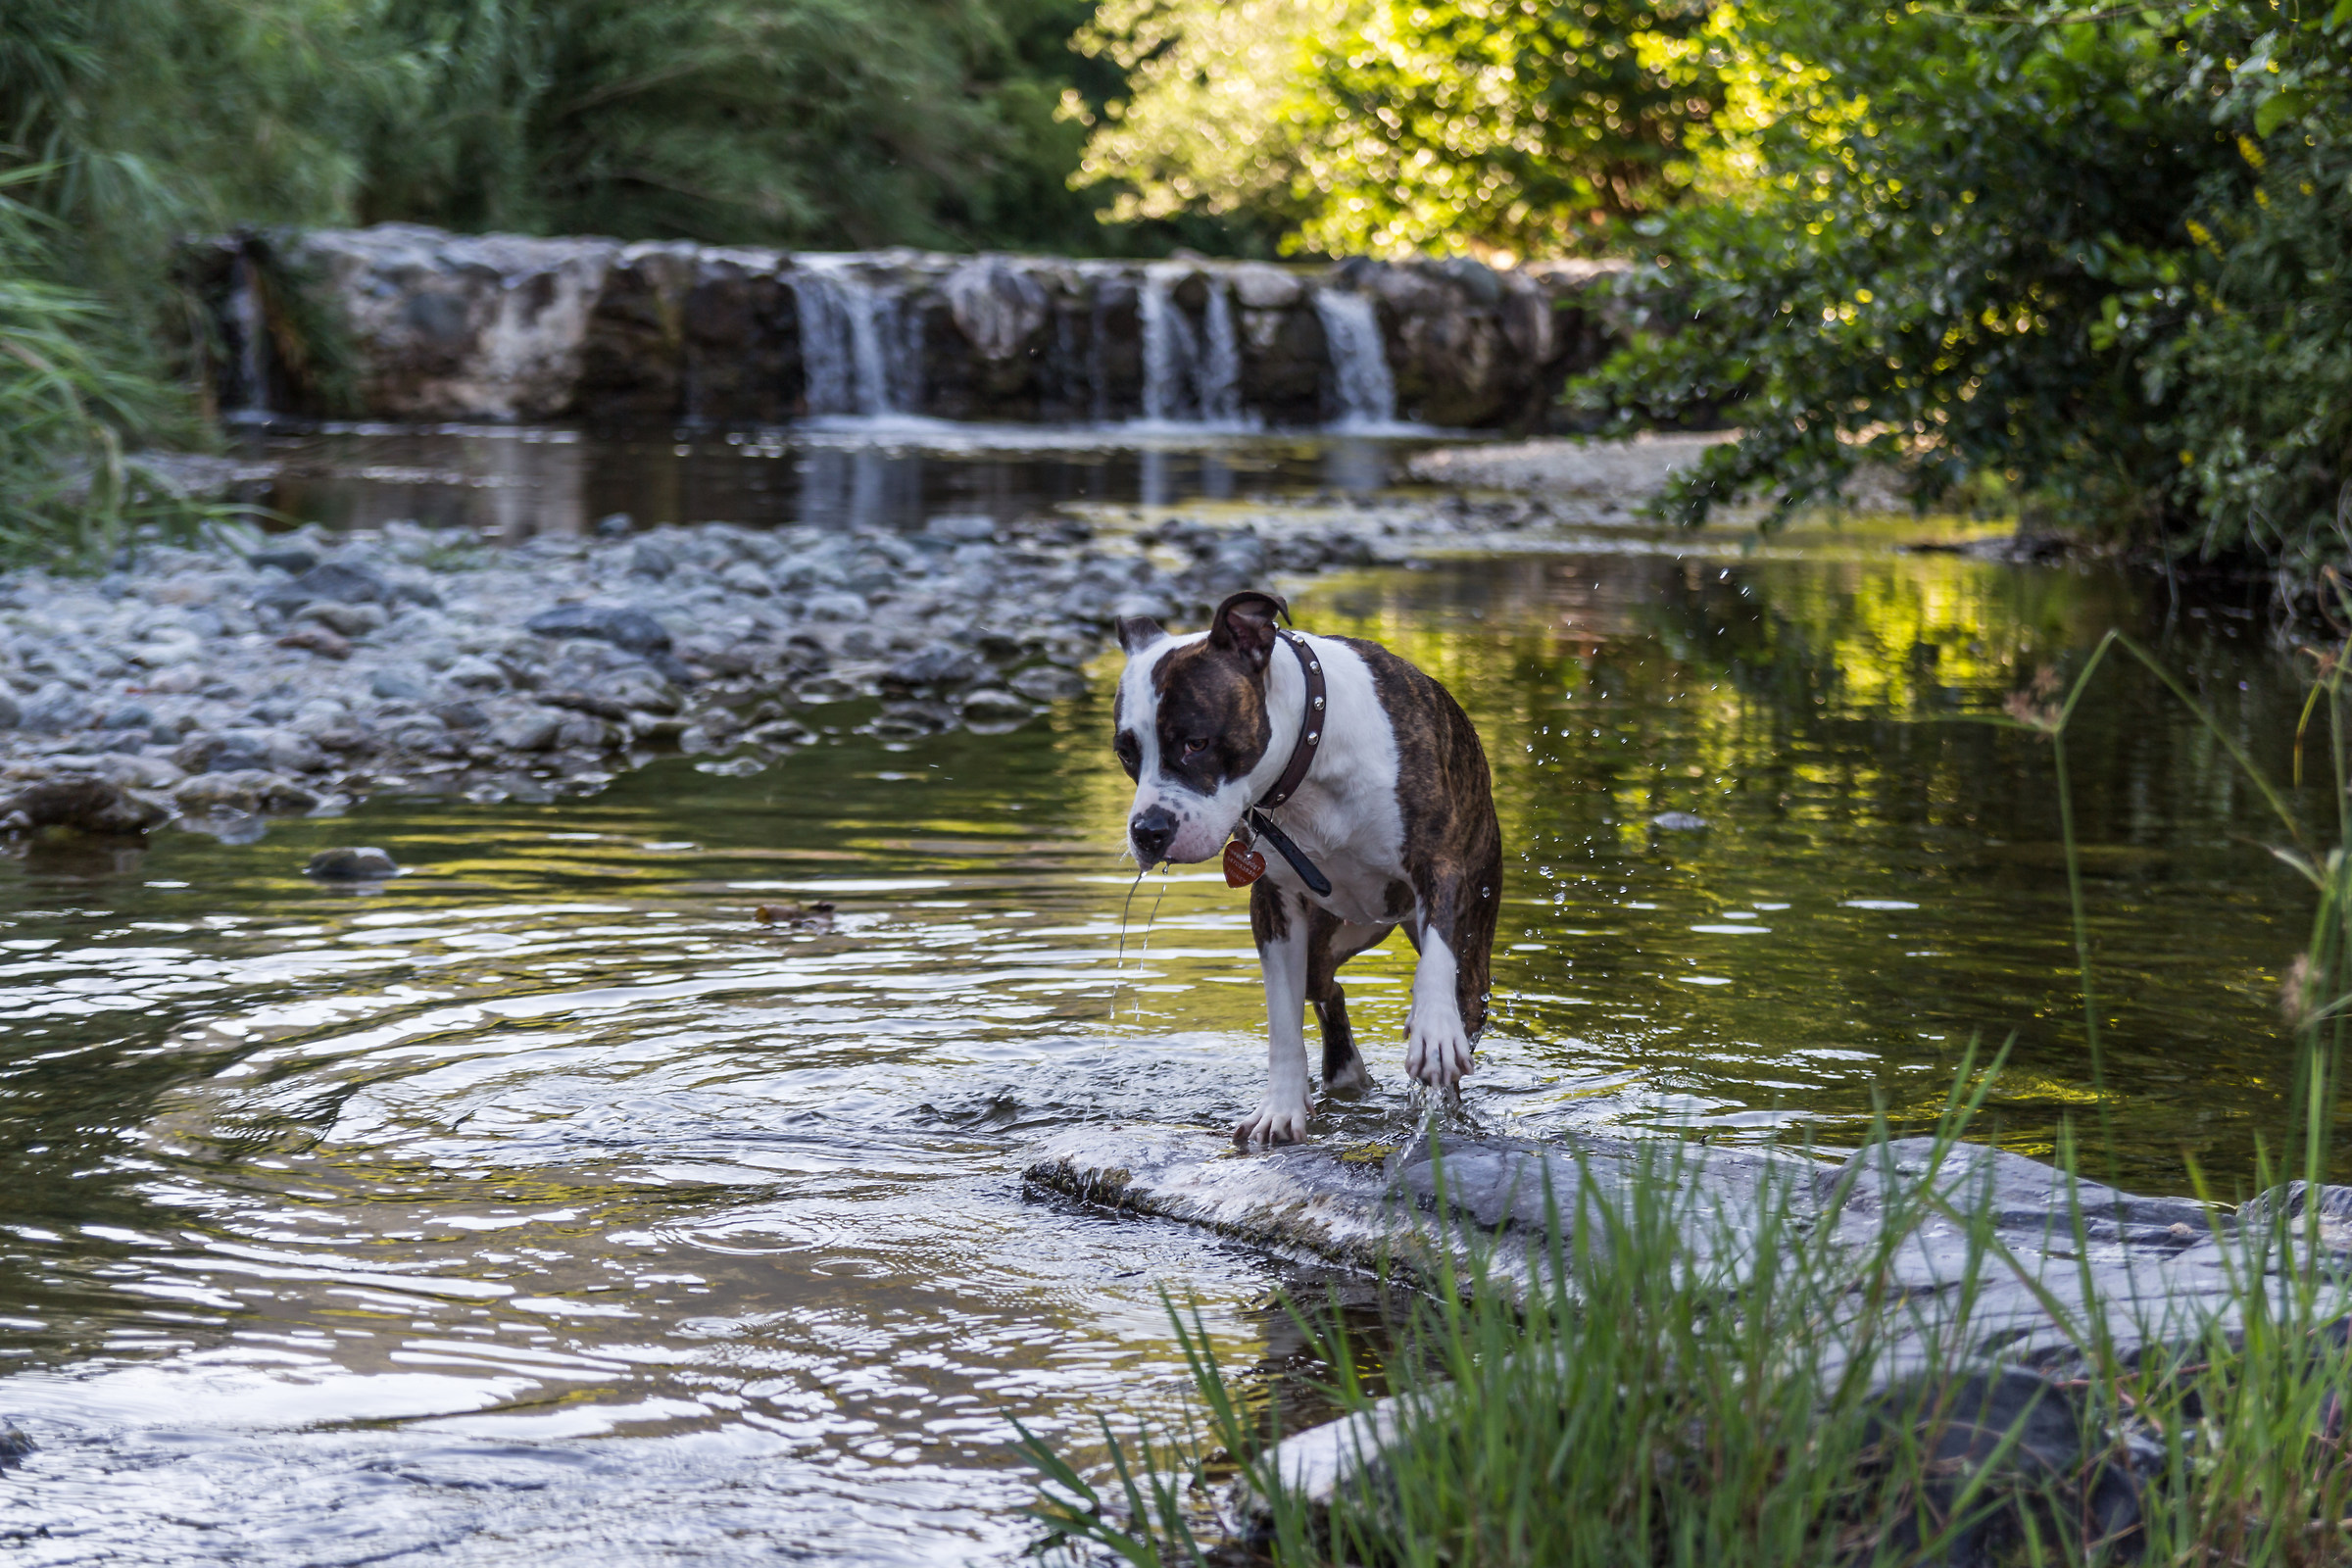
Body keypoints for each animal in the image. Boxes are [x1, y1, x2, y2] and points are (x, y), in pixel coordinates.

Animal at [1105, 587, 1495, 1142]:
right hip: (1329, 931)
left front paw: (1433, 1031)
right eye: (1126, 754)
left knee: (1459, 990)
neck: (1309, 763)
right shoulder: (1275, 905)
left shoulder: (1438, 866)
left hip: (1470, 946)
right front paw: (1282, 1108)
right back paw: (1347, 1074)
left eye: (1196, 742)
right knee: (1326, 987)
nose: (1148, 830)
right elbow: (1284, 1020)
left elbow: (1436, 962)